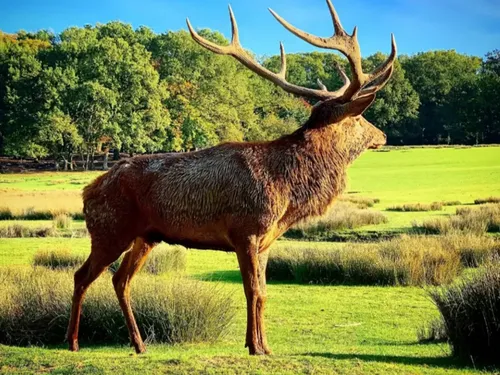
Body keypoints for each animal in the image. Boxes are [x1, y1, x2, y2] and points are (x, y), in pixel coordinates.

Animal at [66, 0, 396, 356]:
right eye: (359, 118)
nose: (383, 134)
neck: (286, 192)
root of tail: (87, 191)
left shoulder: (266, 240)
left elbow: (263, 293)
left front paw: (263, 346)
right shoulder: (245, 230)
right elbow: (252, 291)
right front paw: (254, 347)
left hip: (145, 236)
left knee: (120, 279)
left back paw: (139, 344)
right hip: (109, 230)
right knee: (82, 275)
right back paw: (73, 341)